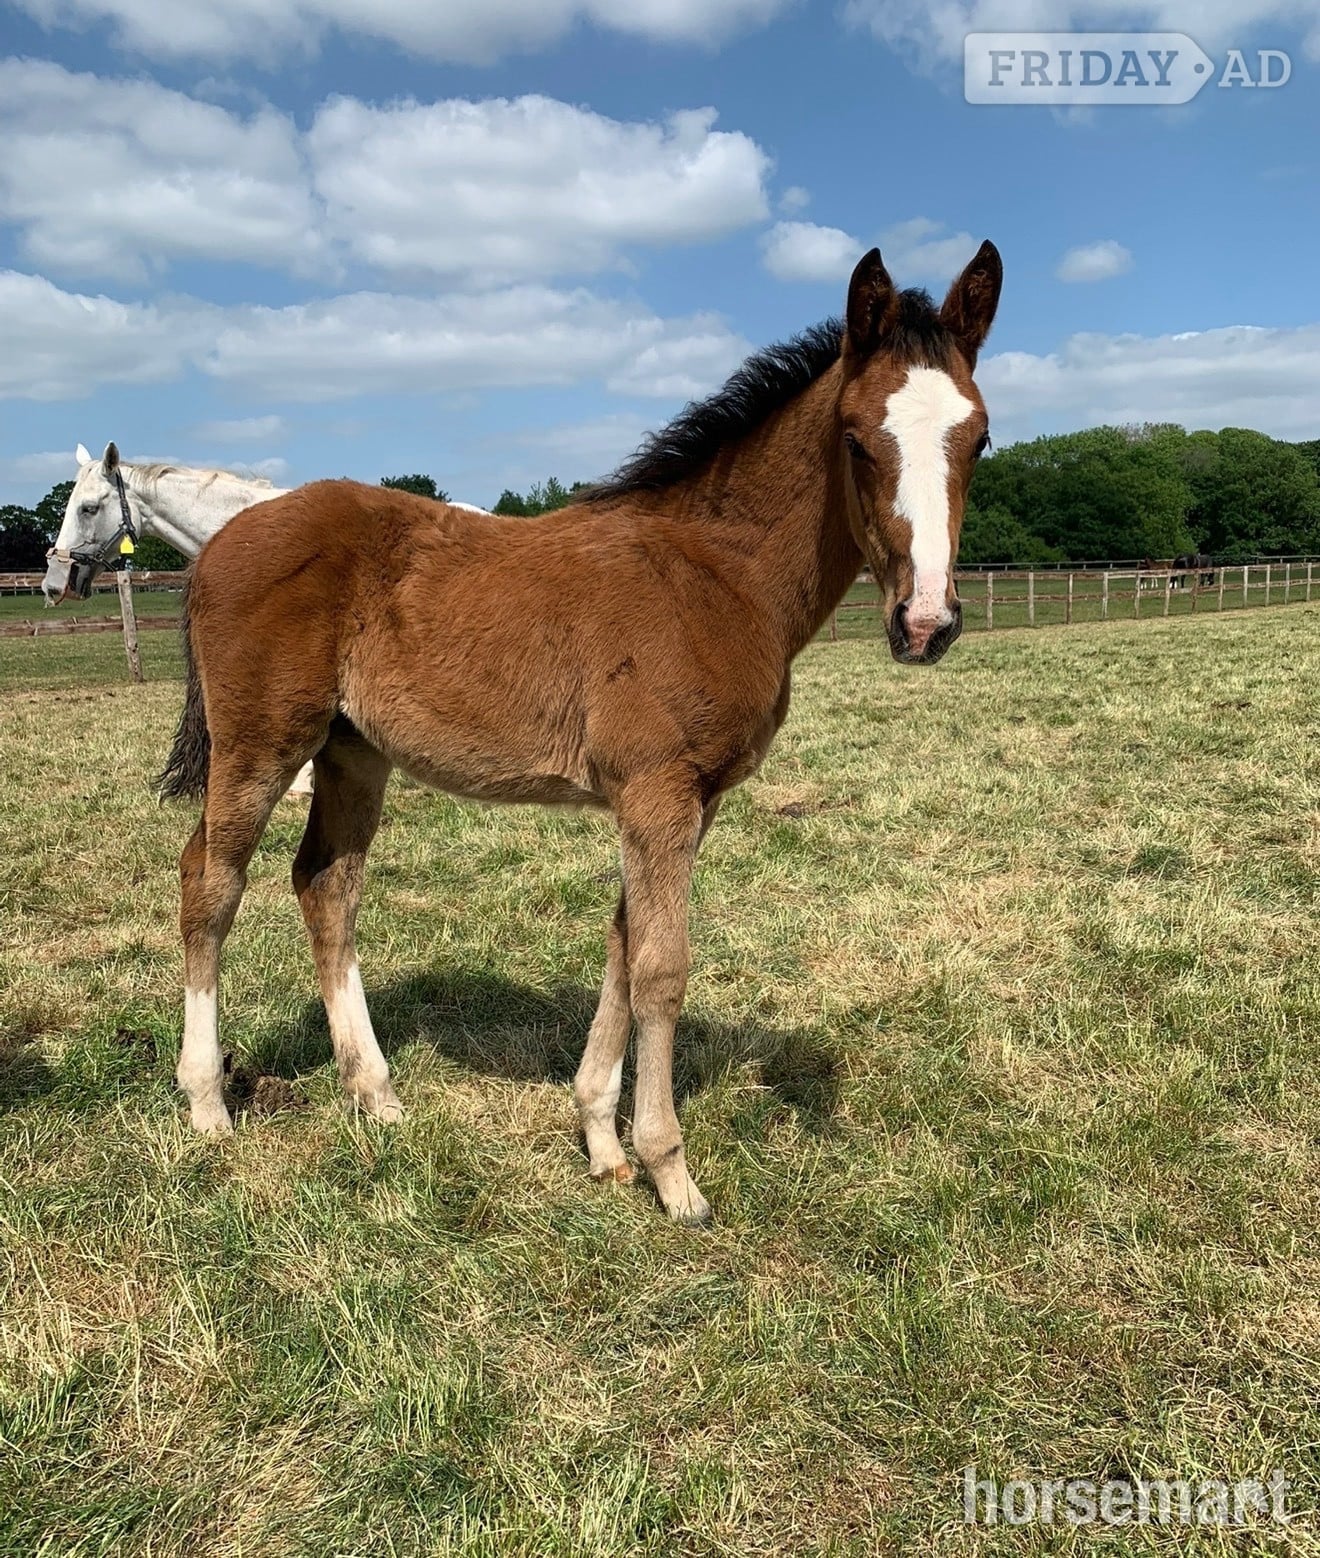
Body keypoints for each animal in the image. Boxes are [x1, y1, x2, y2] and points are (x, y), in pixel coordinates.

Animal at [160, 241, 1003, 1224]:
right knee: (210, 882)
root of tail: (218, 545)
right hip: (260, 744)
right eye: (857, 436)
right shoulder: (658, 791)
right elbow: (661, 967)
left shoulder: (685, 802)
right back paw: (207, 1104)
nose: (926, 621)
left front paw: (602, 1140)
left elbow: (622, 944)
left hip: (352, 752)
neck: (715, 575)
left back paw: (376, 1095)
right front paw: (671, 1172)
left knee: (326, 884)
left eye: (979, 438)